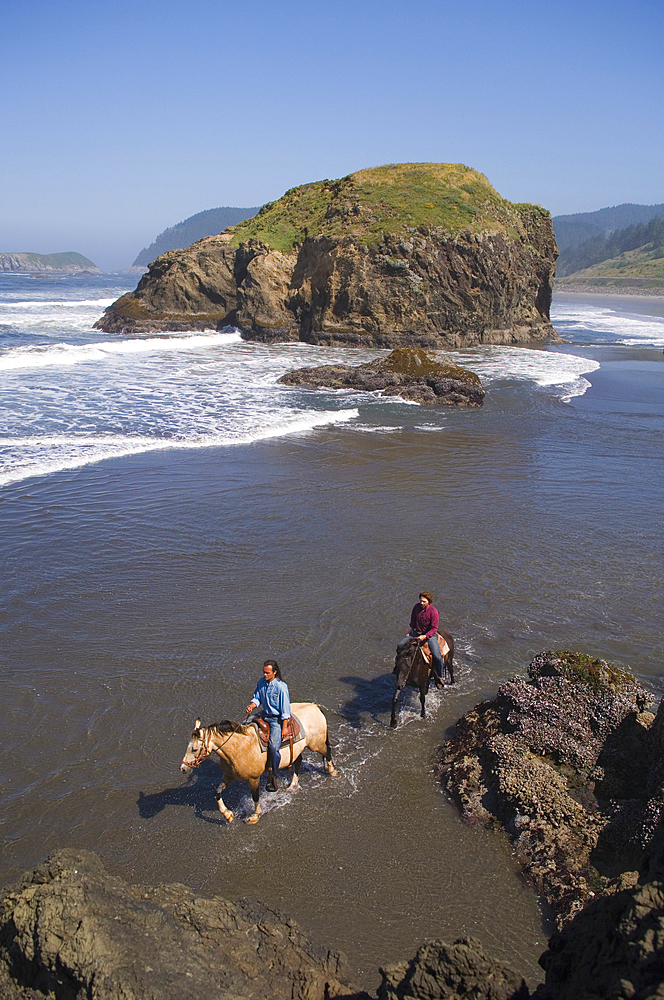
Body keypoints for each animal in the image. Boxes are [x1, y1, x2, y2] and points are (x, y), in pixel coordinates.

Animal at [179, 700, 338, 824]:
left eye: (194, 749)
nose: (183, 768)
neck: (238, 748)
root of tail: (314, 706)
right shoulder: (228, 776)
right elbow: (217, 792)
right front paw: (227, 815)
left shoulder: (253, 779)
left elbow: (255, 796)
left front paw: (254, 816)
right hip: (297, 751)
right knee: (298, 762)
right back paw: (292, 785)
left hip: (317, 744)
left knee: (327, 752)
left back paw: (332, 772)